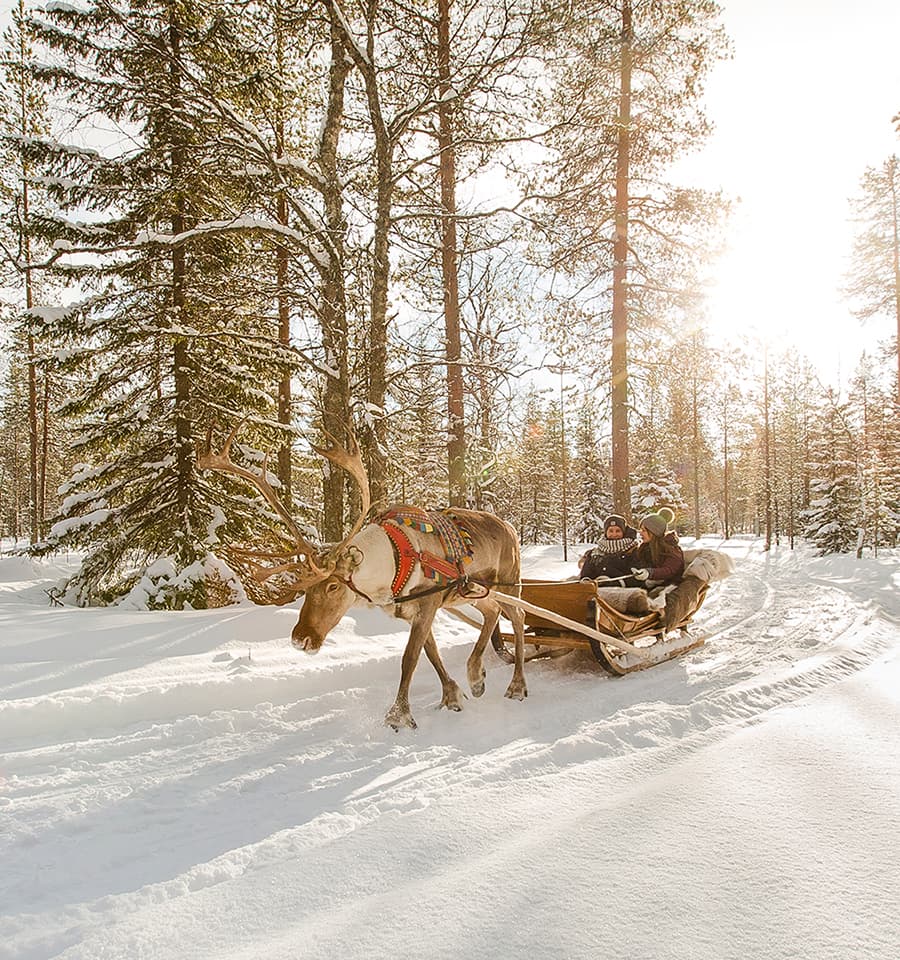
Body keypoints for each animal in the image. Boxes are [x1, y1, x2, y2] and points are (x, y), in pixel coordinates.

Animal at [197, 423, 527, 730]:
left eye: (332, 586)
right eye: (305, 589)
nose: (300, 639)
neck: (393, 562)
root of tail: (511, 527)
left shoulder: (428, 604)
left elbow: (410, 658)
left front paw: (398, 715)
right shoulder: (413, 611)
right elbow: (431, 653)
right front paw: (453, 695)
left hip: (509, 581)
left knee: (518, 617)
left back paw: (515, 684)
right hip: (474, 592)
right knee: (492, 612)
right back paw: (477, 675)